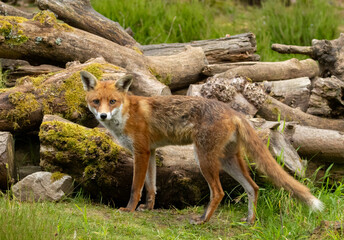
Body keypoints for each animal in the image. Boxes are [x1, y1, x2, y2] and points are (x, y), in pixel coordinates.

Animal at [80, 70, 322, 224]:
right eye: (96, 101)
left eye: (112, 101)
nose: (102, 116)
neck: (126, 114)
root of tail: (233, 111)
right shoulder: (151, 152)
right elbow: (151, 187)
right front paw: (148, 208)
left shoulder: (141, 152)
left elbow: (135, 188)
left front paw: (129, 210)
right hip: (228, 160)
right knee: (253, 187)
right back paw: (249, 221)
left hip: (203, 157)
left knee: (219, 192)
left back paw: (203, 220)